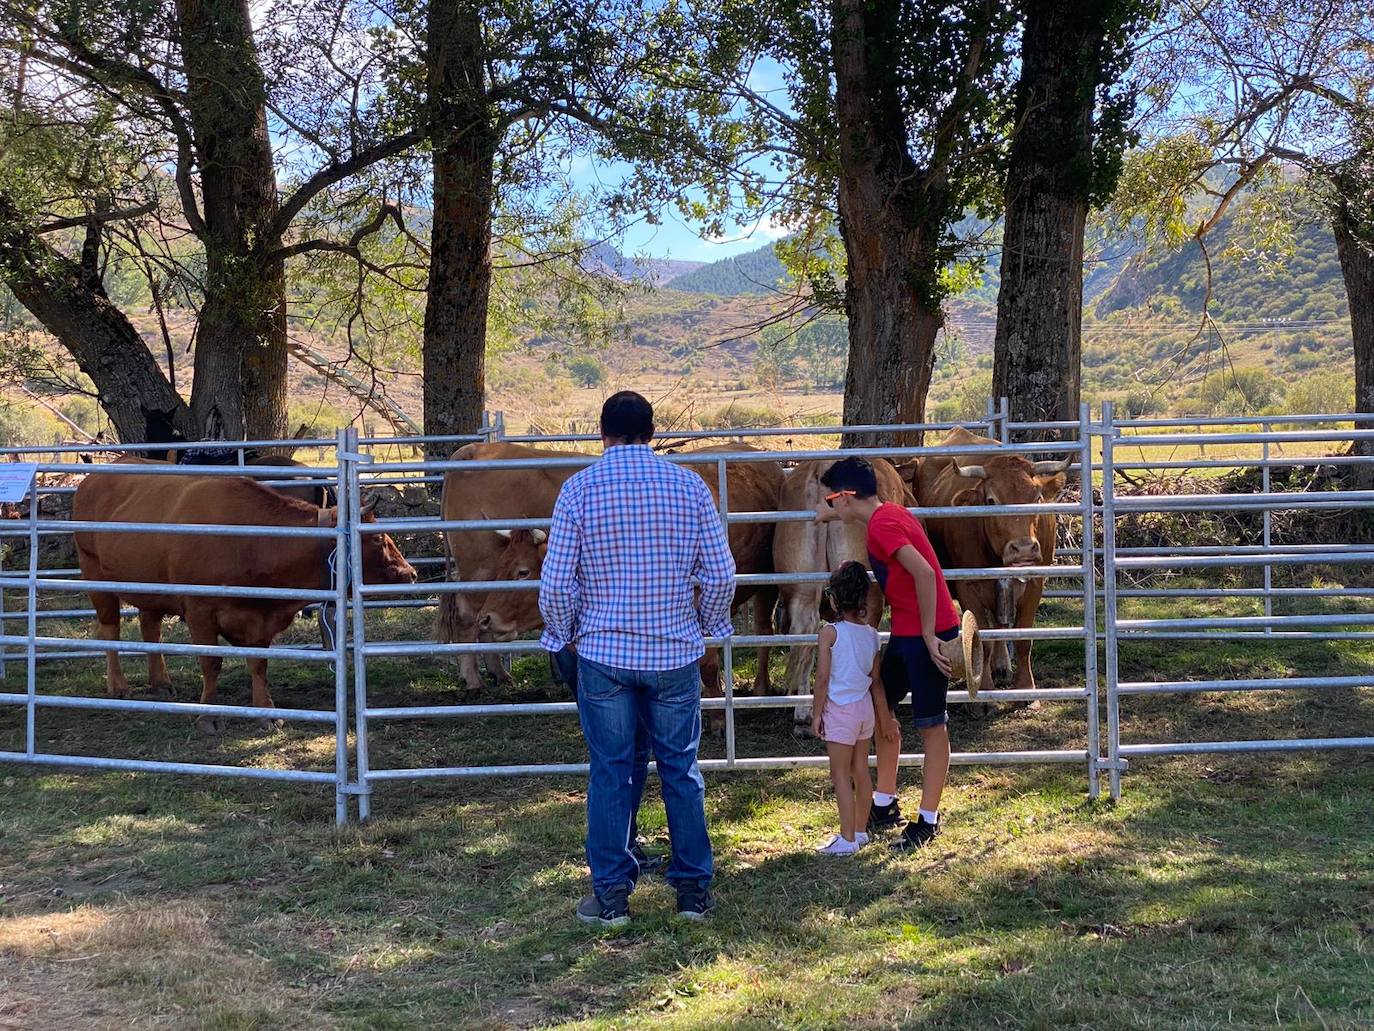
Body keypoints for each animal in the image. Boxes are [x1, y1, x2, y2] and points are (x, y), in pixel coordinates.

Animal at [73, 459, 414, 736]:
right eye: (377, 539)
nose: (409, 572)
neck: (250, 541)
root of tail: (92, 479)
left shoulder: (260, 620)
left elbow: (258, 665)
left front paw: (267, 713)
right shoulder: (200, 612)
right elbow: (211, 663)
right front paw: (209, 716)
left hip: (152, 589)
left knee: (150, 628)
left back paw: (161, 682)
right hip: (95, 574)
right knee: (111, 630)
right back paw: (118, 685)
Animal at [912, 423, 1071, 698]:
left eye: (1037, 497)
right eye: (991, 500)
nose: (1024, 548)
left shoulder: (1035, 582)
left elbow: (1023, 638)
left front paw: (1025, 689)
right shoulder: (968, 587)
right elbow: (980, 642)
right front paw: (985, 691)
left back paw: (1001, 665)